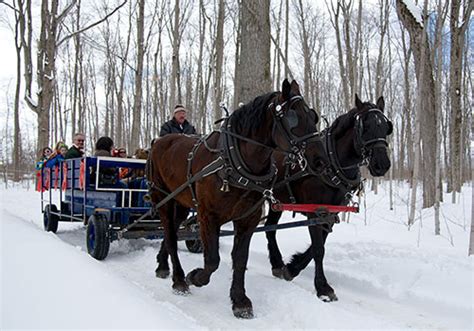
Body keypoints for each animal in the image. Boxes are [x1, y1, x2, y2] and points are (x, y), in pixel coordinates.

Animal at [266, 94, 392, 302]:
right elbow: (318, 249)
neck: (332, 163)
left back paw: (278, 264)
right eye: (364, 126)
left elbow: (318, 246)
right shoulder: (315, 212)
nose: (382, 164)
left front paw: (292, 268)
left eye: (386, 127)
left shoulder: (329, 213)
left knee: (270, 228)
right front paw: (323, 287)